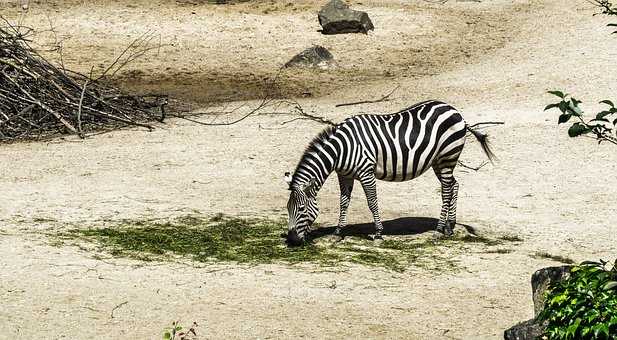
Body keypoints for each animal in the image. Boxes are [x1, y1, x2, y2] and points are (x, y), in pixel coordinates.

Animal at [286, 99, 496, 246]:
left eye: (302, 209)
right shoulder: (344, 175)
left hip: (447, 156)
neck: (342, 149)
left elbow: (372, 202)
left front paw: (378, 234)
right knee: (454, 185)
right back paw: (450, 227)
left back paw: (438, 230)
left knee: (446, 190)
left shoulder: (366, 173)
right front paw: (338, 233)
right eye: (288, 209)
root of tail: (456, 112)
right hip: (440, 160)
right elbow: (343, 203)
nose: (292, 240)